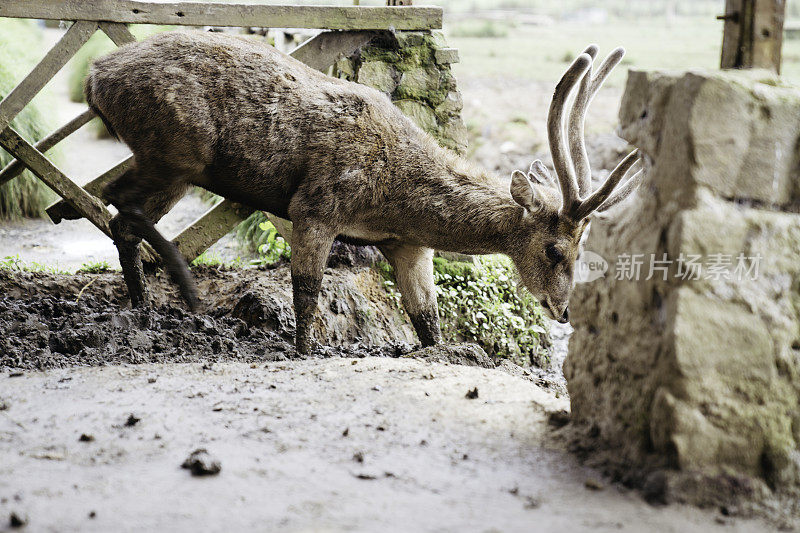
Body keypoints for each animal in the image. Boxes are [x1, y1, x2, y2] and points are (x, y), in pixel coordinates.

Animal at [84, 30, 640, 354]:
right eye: (556, 249)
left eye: (584, 248)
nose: (563, 310)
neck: (394, 201)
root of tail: (95, 77)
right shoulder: (316, 205)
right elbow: (307, 291)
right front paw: (307, 350)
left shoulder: (409, 245)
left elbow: (427, 321)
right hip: (178, 150)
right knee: (116, 201)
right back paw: (180, 289)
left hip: (172, 162)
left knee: (119, 213)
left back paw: (146, 308)